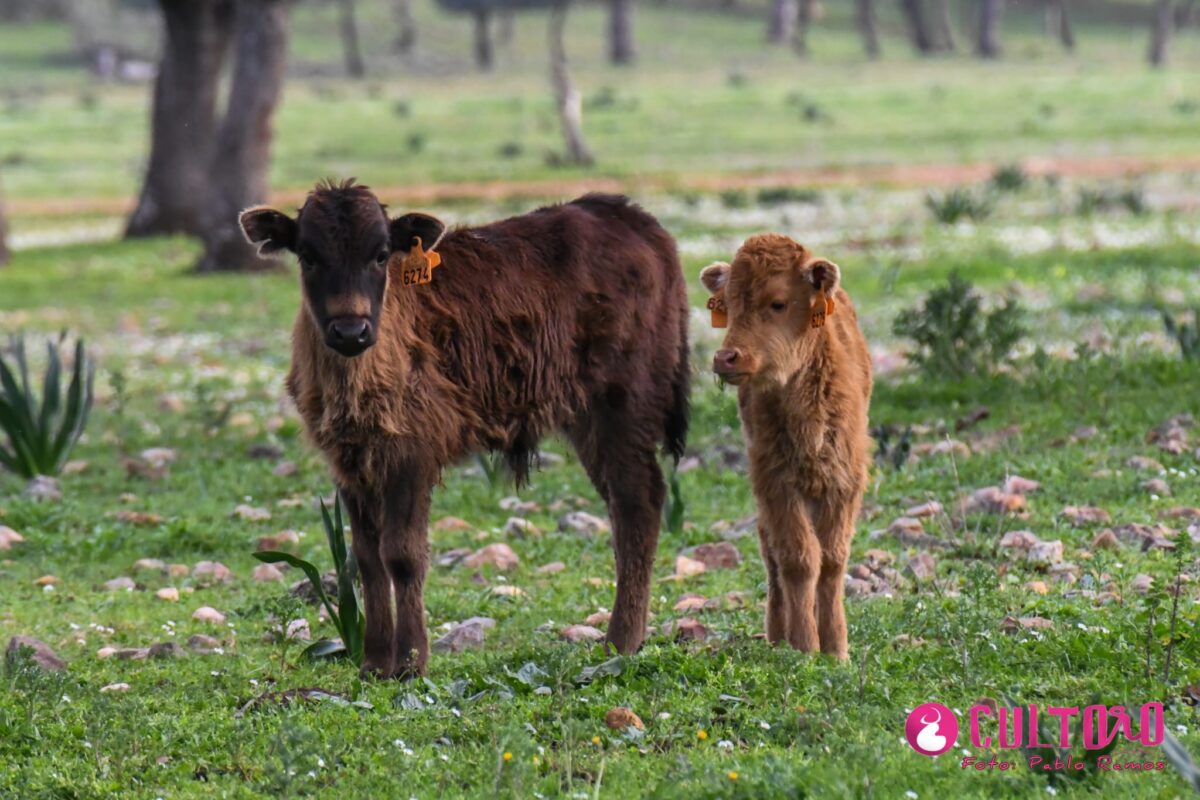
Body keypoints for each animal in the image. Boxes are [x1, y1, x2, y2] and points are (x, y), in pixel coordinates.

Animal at [238, 179, 691, 676]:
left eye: (381, 254)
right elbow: (366, 558)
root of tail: (633, 219)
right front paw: (374, 662)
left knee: (638, 501)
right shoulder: (349, 463)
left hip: (623, 407)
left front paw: (410, 662)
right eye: (308, 255)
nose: (350, 329)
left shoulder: (412, 455)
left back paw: (621, 640)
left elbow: (402, 555)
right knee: (624, 501)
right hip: (588, 420)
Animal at [696, 231, 873, 657]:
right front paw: (805, 646)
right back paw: (778, 635)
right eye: (728, 305)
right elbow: (798, 559)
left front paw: (836, 649)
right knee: (771, 551)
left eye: (777, 302)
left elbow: (832, 560)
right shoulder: (776, 482)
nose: (726, 357)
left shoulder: (844, 482)